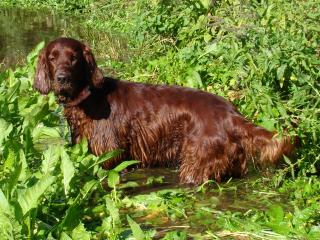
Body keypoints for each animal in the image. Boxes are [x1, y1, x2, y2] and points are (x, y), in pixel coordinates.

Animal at [33, 37, 294, 184]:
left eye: (74, 58)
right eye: (52, 58)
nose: (62, 78)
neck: (89, 96)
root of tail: (231, 114)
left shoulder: (110, 157)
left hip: (196, 163)